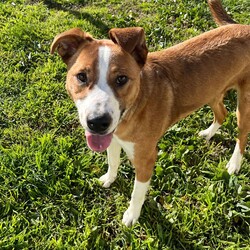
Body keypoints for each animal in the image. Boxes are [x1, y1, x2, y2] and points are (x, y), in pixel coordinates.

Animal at [50, 0, 248, 227]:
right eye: (81, 76)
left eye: (121, 79)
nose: (98, 123)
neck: (134, 109)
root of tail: (244, 27)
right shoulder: (113, 139)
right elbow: (113, 161)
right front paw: (109, 179)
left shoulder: (146, 159)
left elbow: (137, 193)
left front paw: (132, 215)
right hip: (211, 92)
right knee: (222, 113)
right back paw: (208, 133)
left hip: (244, 105)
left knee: (242, 135)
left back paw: (234, 164)